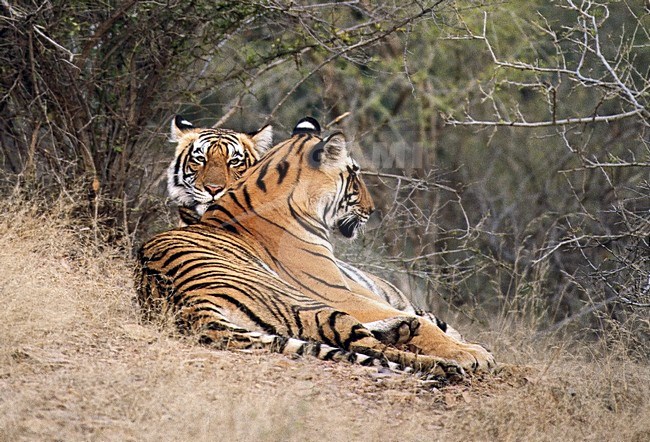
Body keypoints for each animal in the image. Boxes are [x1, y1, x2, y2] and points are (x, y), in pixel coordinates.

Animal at [137, 123, 492, 376]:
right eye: (354, 175)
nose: (372, 209)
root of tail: (190, 307)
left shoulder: (352, 288)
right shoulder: (336, 292)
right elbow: (424, 325)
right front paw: (469, 352)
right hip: (308, 304)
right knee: (372, 346)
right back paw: (447, 362)